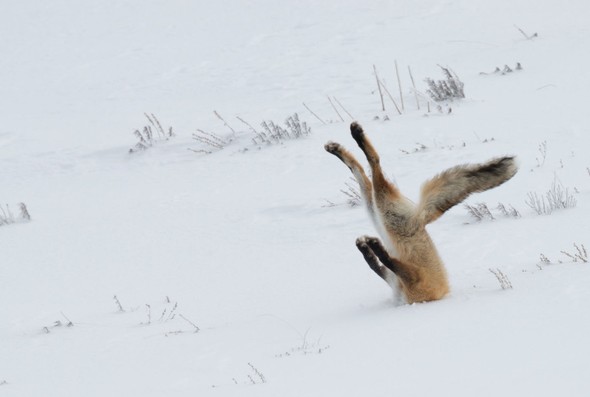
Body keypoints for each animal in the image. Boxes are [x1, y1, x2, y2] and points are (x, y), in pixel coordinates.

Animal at [326, 122, 520, 302]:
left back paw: (355, 137)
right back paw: (339, 147)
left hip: (384, 213)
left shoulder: (413, 279)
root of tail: (420, 218)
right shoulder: (397, 279)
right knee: (361, 171)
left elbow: (384, 261)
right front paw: (366, 247)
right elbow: (376, 264)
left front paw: (373, 247)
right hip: (378, 212)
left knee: (374, 165)